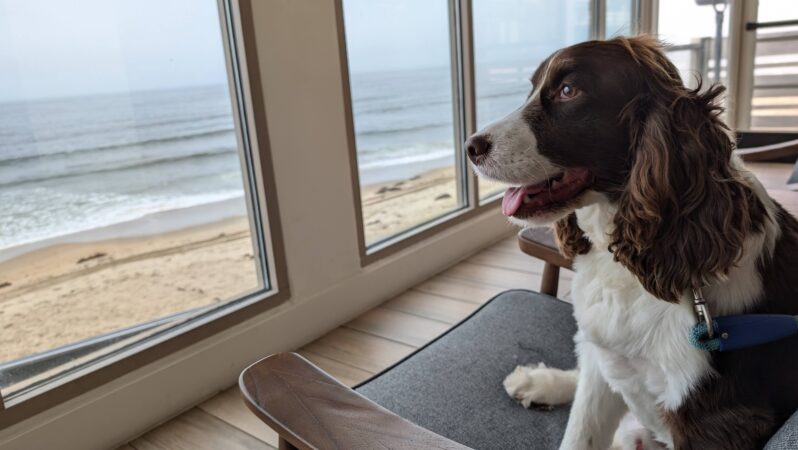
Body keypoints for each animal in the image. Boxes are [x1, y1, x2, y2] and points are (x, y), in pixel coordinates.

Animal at [466, 36, 798, 450]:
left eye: (568, 90)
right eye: (531, 89)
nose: (470, 146)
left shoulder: (720, 421)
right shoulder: (605, 353)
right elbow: (581, 431)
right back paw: (541, 381)